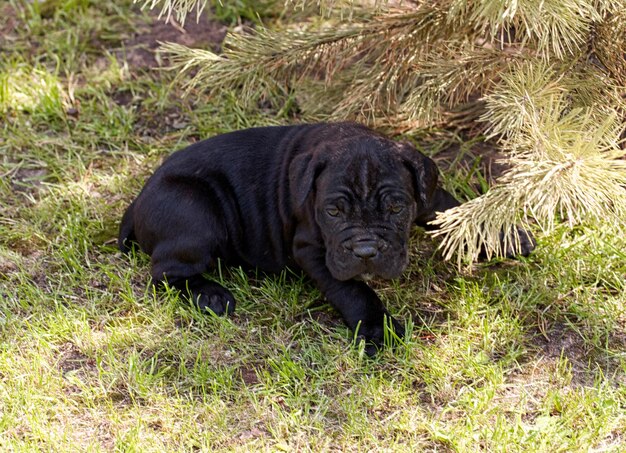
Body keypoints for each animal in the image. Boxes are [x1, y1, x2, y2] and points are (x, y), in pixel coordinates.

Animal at [118, 122, 532, 352]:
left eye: (396, 208)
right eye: (333, 212)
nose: (366, 250)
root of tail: (137, 201)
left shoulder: (428, 196)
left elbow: (459, 214)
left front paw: (506, 237)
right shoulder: (316, 252)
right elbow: (354, 290)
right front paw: (378, 329)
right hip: (196, 212)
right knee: (166, 273)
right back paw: (211, 295)